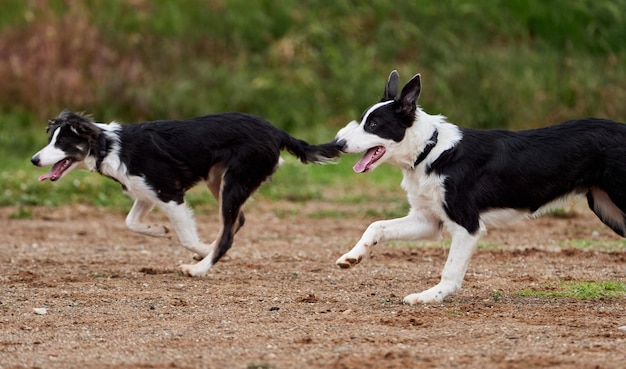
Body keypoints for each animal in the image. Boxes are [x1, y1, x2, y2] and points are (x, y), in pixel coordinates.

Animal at [31, 110, 338, 274]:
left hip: (233, 181)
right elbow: (131, 223)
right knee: (237, 221)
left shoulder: (170, 195)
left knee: (228, 233)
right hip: (219, 180)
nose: (33, 160)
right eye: (51, 140)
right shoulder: (146, 192)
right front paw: (160, 230)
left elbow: (187, 238)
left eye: (62, 143)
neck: (110, 146)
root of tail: (277, 131)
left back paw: (201, 267)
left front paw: (200, 249)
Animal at [334, 70, 624, 304]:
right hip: (608, 209)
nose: (337, 143)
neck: (431, 151)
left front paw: (431, 296)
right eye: (363, 121)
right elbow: (377, 226)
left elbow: (450, 270)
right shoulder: (427, 220)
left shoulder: (466, 225)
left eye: (373, 125)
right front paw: (352, 256)